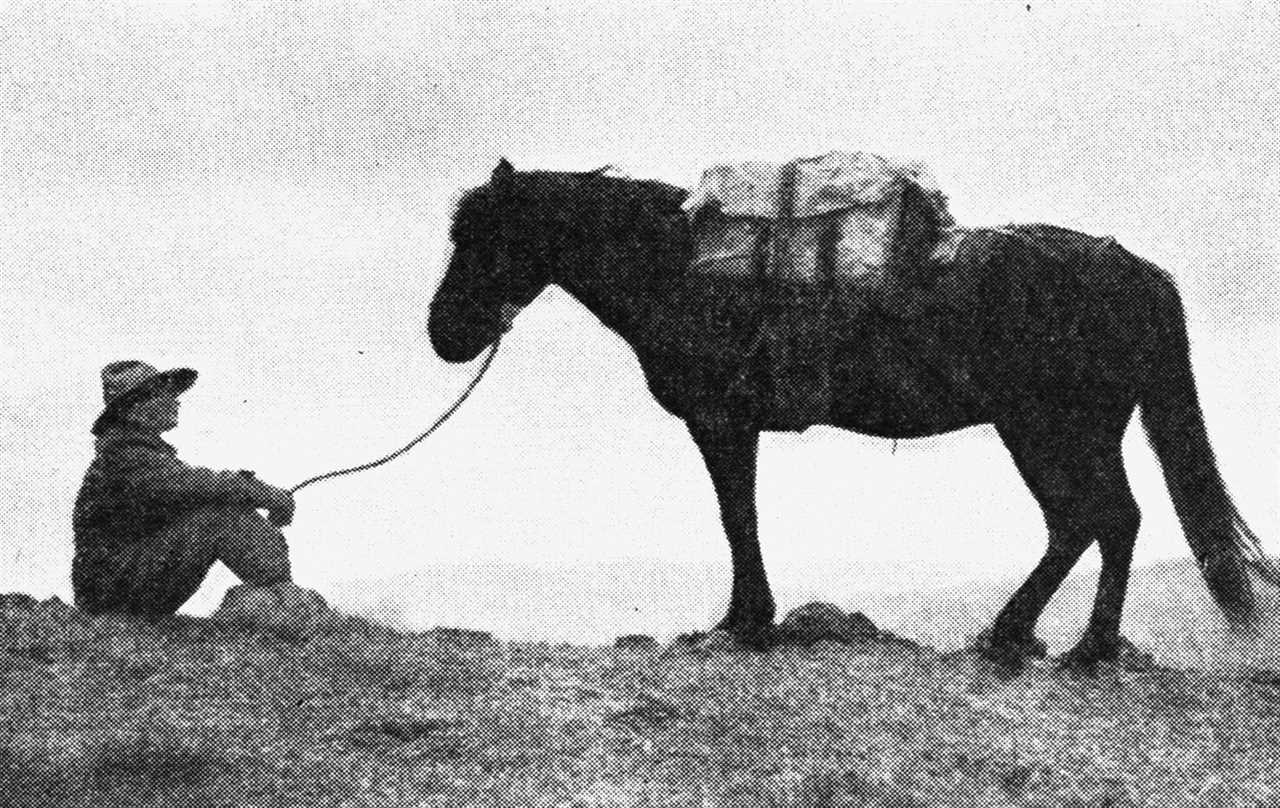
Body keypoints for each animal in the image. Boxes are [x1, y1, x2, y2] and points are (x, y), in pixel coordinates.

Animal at [427, 159, 1269, 670]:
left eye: (482, 236)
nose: (444, 332)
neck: (679, 266)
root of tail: (1135, 268)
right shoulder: (730, 426)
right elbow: (740, 515)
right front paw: (745, 620)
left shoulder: (721, 423)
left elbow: (737, 515)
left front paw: (745, 623)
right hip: (1064, 432)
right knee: (1092, 522)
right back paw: (1024, 637)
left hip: (1051, 430)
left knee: (1101, 519)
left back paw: (1078, 649)